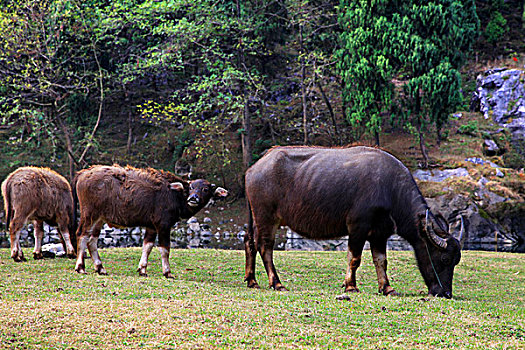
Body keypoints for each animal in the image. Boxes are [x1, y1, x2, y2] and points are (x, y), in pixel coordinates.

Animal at [73, 165, 227, 278]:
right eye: (191, 187)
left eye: (205, 189)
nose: (193, 198)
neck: (174, 194)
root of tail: (83, 173)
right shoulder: (163, 225)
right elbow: (165, 249)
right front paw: (167, 272)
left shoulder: (151, 226)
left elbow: (147, 246)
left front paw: (142, 269)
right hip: (89, 214)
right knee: (82, 235)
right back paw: (80, 267)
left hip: (99, 219)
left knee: (92, 240)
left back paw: (100, 268)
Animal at [244, 147, 460, 298]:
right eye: (444, 259)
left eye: (456, 260)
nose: (446, 293)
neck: (390, 190)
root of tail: (254, 168)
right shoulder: (358, 226)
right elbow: (354, 258)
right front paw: (351, 286)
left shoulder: (380, 233)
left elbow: (381, 260)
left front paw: (387, 287)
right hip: (267, 218)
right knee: (265, 247)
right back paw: (276, 283)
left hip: (255, 218)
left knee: (250, 242)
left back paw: (252, 281)